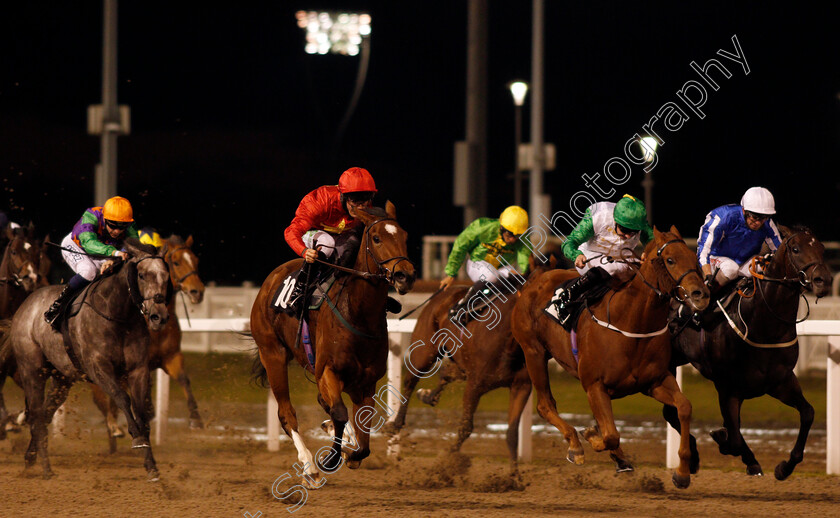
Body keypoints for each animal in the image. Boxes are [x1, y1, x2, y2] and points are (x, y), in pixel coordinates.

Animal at [5, 242, 169, 482]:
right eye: (141, 275)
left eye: (166, 276)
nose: (159, 316)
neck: (118, 314)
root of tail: (24, 307)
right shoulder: (98, 367)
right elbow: (122, 398)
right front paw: (137, 438)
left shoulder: (138, 370)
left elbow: (141, 412)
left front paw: (152, 467)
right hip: (32, 371)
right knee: (36, 414)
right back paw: (46, 469)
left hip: (62, 379)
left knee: (45, 414)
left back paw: (30, 458)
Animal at [91, 236, 206, 450]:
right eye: (176, 262)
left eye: (195, 260)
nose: (198, 292)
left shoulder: (170, 357)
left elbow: (184, 380)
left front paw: (195, 418)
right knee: (101, 399)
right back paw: (113, 427)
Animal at [251, 203, 418, 492]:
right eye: (377, 238)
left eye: (405, 237)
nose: (404, 275)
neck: (358, 313)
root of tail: (269, 282)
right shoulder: (328, 370)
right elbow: (340, 412)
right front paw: (330, 458)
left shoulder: (366, 382)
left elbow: (362, 432)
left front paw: (352, 453)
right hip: (272, 354)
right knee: (287, 413)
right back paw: (310, 469)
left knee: (324, 401)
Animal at [512, 229, 708, 492]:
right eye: (670, 260)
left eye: (693, 257)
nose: (701, 295)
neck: (630, 321)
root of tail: (535, 280)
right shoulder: (595, 384)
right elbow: (610, 435)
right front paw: (591, 438)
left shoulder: (655, 381)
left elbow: (684, 407)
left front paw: (682, 472)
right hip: (533, 352)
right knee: (545, 405)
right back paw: (575, 445)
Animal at [668, 225, 832, 482]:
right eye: (796, 249)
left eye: (822, 248)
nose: (823, 280)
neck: (762, 324)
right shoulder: (727, 386)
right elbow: (733, 437)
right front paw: (725, 440)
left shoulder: (779, 381)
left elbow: (807, 413)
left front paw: (784, 467)